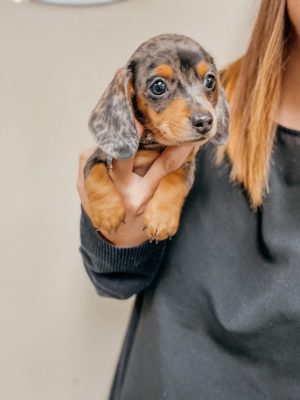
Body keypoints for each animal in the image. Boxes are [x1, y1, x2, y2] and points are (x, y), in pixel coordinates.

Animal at [83, 33, 229, 241]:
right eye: (158, 86)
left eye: (210, 80)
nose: (205, 121)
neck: (151, 144)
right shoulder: (98, 156)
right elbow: (95, 175)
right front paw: (108, 214)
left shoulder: (186, 162)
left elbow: (175, 179)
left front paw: (161, 219)